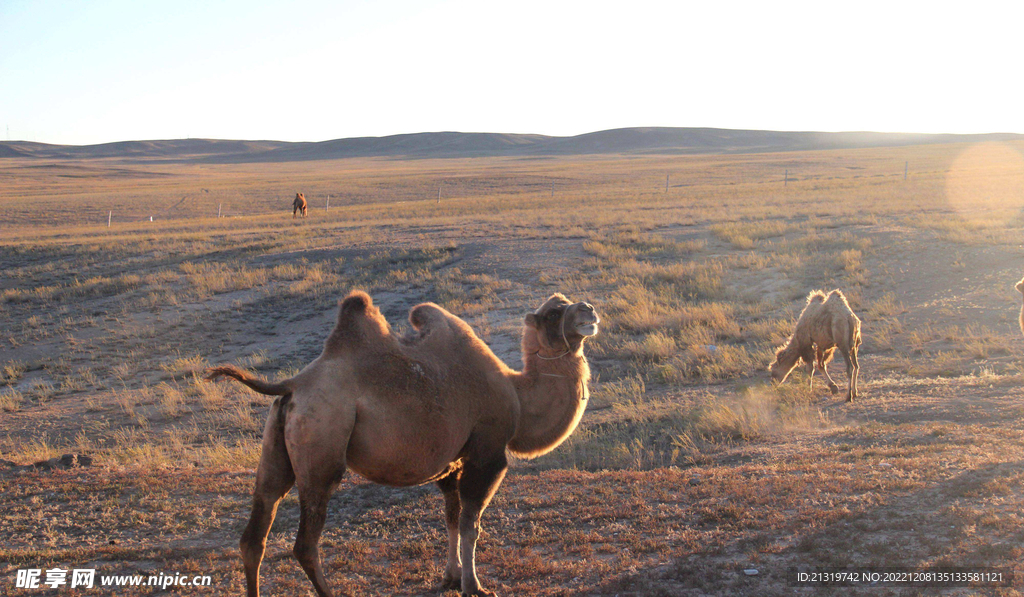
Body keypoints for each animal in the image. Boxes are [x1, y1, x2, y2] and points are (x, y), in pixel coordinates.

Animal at [202, 290, 598, 597]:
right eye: (554, 313)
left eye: (566, 302)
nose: (589, 310)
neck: (518, 396)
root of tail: (294, 384)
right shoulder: (486, 454)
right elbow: (471, 524)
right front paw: (475, 586)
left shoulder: (452, 462)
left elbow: (451, 517)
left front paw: (451, 577)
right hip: (322, 444)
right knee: (305, 544)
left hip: (277, 444)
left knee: (256, 531)